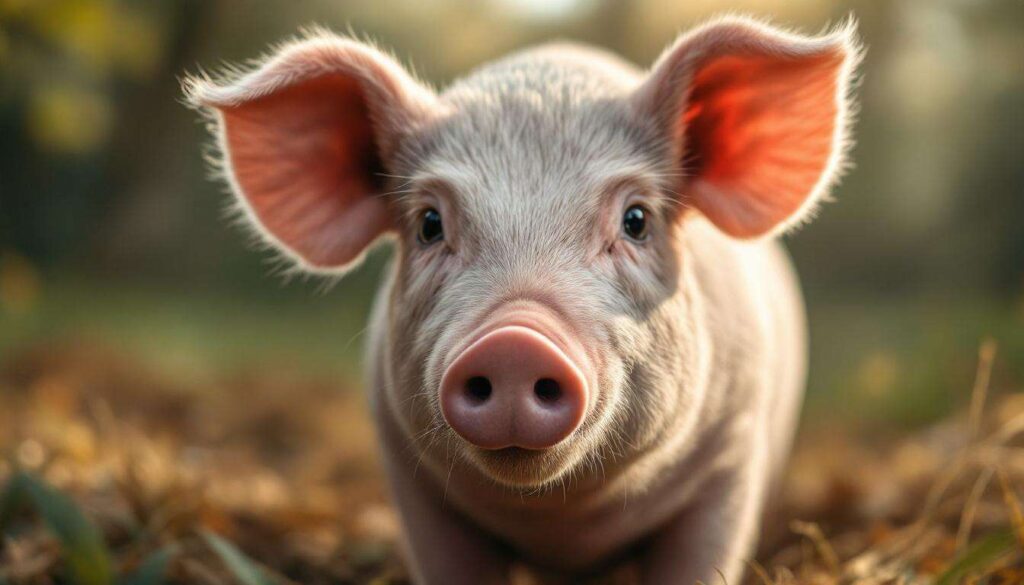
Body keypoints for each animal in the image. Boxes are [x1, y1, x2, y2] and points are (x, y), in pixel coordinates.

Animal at [186, 15, 860, 584]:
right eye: (429, 223)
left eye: (636, 220)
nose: (515, 341)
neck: (562, 524)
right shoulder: (414, 485)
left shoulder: (729, 461)